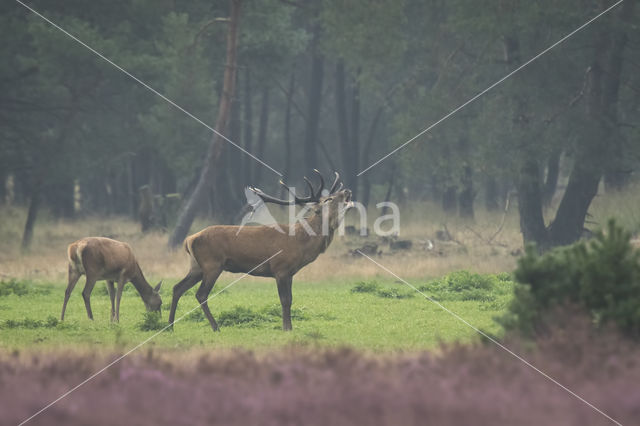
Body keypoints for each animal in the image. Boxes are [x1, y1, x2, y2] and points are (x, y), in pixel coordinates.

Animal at [168, 171, 352, 332]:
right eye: (328, 199)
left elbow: (291, 299)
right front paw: (286, 328)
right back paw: (215, 327)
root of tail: (189, 239)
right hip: (212, 264)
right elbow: (285, 300)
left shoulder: (291, 272)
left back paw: (170, 326)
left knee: (178, 287)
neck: (301, 243)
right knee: (201, 294)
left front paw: (290, 327)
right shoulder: (280, 268)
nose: (347, 190)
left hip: (197, 267)